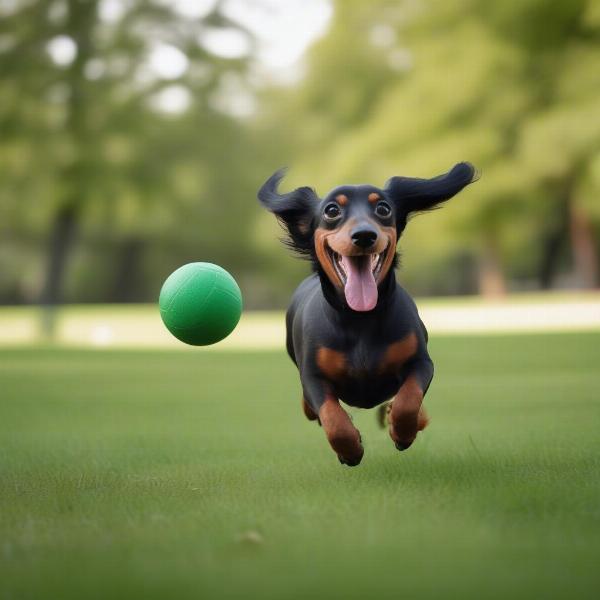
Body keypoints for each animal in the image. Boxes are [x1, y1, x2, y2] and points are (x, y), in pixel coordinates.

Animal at [258, 163, 478, 464]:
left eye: (383, 208)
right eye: (331, 210)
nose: (364, 235)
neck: (359, 318)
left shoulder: (421, 362)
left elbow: (408, 400)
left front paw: (402, 431)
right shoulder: (313, 377)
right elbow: (332, 417)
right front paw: (350, 450)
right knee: (311, 409)